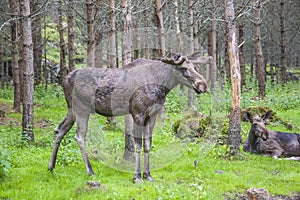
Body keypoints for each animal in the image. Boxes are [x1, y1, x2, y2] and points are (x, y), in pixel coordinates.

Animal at [49, 53, 209, 183]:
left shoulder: (152, 115)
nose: (203, 85)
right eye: (183, 69)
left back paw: (51, 166)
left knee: (59, 130)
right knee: (80, 136)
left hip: (71, 110)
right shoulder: (138, 113)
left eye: (194, 67)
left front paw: (148, 175)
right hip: (81, 109)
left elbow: (148, 144)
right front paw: (137, 176)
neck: (161, 87)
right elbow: (138, 145)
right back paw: (90, 170)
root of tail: (64, 80)